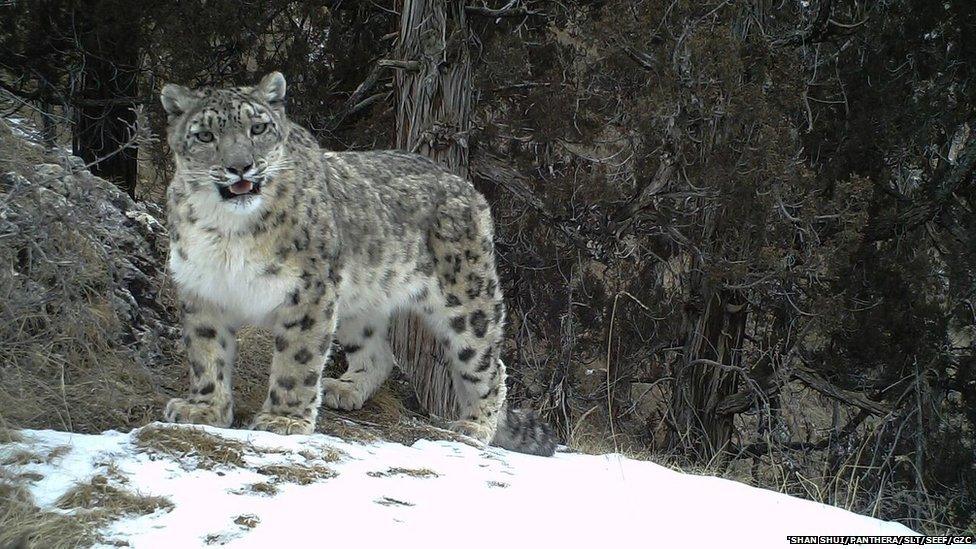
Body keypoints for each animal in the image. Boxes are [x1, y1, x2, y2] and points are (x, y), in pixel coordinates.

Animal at [160, 71, 556, 454]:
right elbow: (206, 352)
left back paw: (475, 425)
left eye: (257, 128)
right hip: (358, 301)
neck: (228, 231)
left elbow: (297, 358)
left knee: (488, 363)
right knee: (380, 354)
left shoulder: (309, 289)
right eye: (205, 135)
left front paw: (284, 419)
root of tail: (469, 187)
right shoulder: (202, 288)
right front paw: (204, 409)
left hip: (468, 297)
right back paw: (344, 389)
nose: (240, 167)